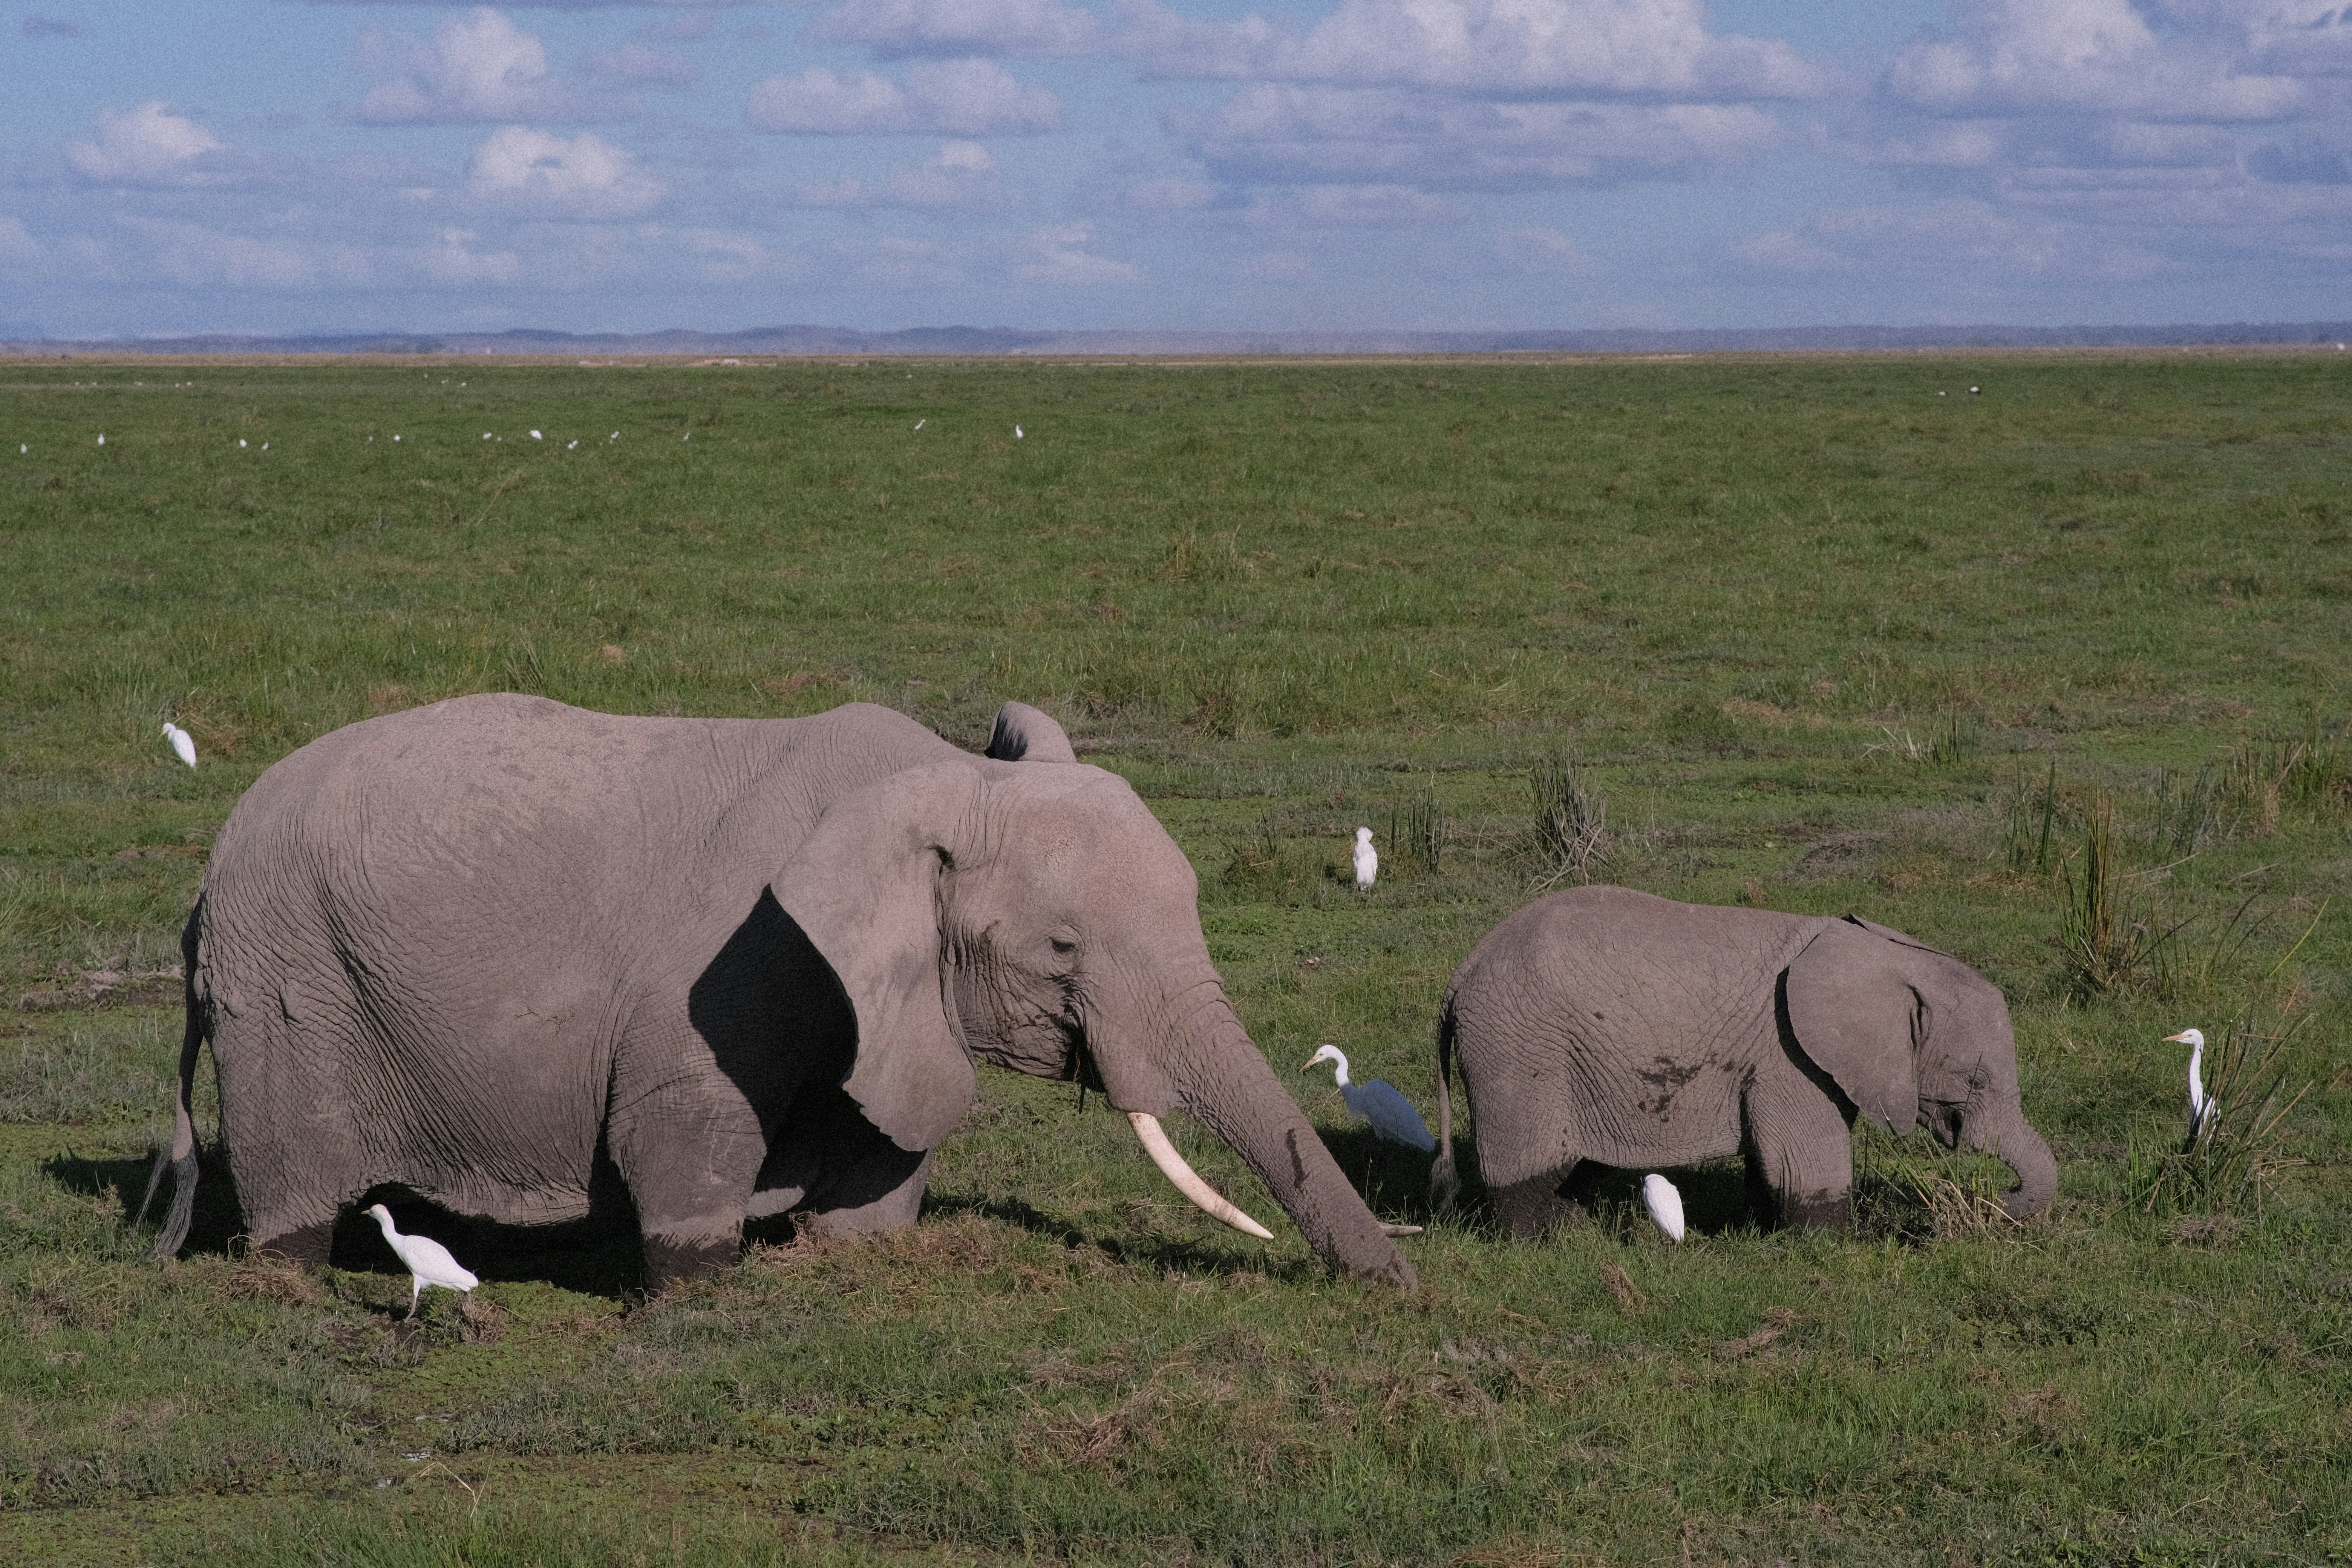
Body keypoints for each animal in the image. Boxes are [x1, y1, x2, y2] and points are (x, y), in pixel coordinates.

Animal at [136, 694, 1415, 1289]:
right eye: (1062, 950)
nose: (1404, 1284)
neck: (937, 781)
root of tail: (201, 890)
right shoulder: (736, 971)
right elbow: (681, 1133)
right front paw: (699, 1289)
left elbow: (878, 1164)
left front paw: (845, 1255)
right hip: (287, 986)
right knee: (293, 1197)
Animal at [1428, 886, 2055, 1235]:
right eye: (1976, 1080)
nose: (1997, 1198)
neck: (1885, 955)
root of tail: (1461, 974)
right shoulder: (1789, 1056)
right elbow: (1806, 1165)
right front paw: (1828, 1246)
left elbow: (1769, 1160)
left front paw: (1757, 1229)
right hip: (1518, 1048)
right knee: (1525, 1166)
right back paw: (1555, 1235)